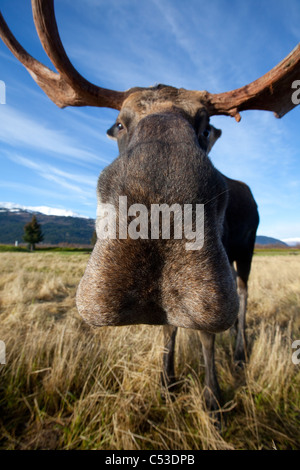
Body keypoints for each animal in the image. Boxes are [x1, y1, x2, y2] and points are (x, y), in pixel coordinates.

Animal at [1, 0, 298, 414]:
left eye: (205, 126)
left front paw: (212, 399)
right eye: (119, 124)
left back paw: (240, 355)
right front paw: (166, 380)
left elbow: (206, 337)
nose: (161, 215)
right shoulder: (173, 307)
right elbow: (168, 327)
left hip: (247, 249)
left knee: (242, 296)